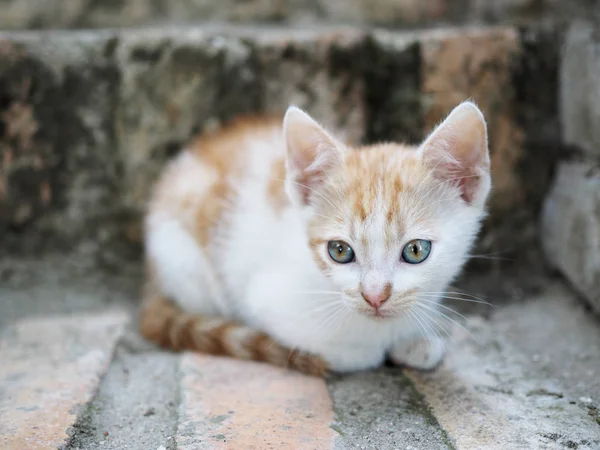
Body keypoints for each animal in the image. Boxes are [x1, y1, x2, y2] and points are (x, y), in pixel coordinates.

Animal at [141, 100, 492, 374]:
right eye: (340, 250)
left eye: (416, 250)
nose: (374, 297)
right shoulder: (264, 299)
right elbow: (346, 351)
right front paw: (378, 348)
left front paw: (415, 339)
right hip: (187, 266)